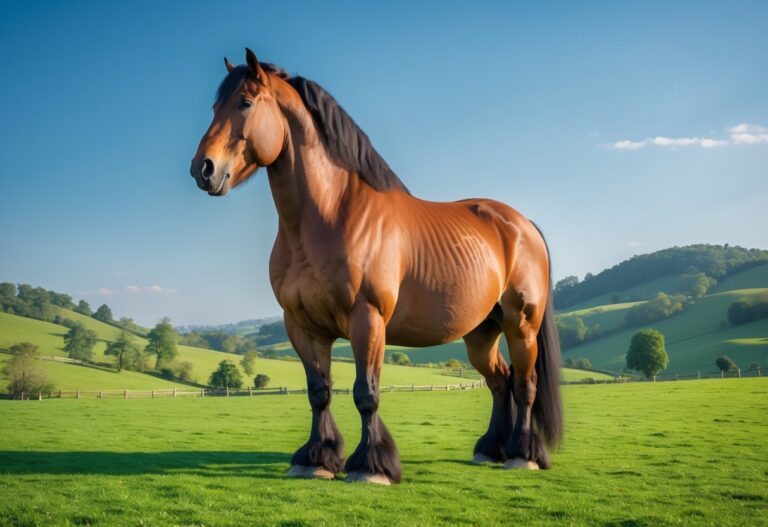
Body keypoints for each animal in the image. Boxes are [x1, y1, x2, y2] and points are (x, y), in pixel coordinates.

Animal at [191, 48, 563, 485]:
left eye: (245, 103)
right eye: (215, 107)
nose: (203, 169)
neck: (330, 216)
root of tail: (521, 225)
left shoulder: (367, 319)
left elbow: (366, 394)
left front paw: (371, 465)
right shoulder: (302, 325)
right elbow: (319, 392)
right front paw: (315, 459)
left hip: (522, 325)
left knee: (525, 385)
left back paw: (523, 454)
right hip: (481, 333)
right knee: (500, 382)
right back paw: (490, 450)